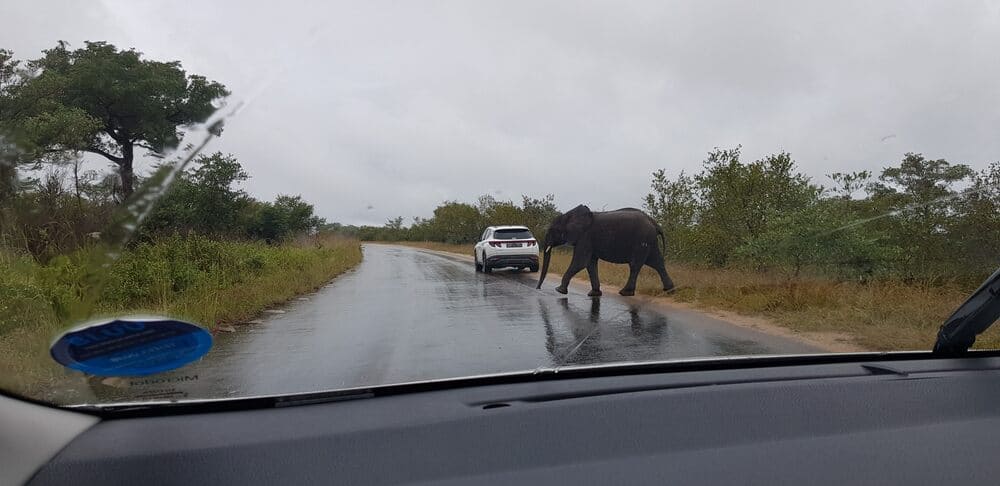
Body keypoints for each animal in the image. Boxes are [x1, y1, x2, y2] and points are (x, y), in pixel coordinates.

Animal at [536, 204, 676, 296]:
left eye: (553, 230)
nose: (538, 289)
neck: (569, 215)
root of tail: (654, 223)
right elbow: (590, 264)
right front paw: (594, 293)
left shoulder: (585, 237)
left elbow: (580, 262)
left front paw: (559, 290)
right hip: (650, 241)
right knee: (656, 262)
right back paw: (669, 290)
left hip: (642, 240)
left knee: (636, 265)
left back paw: (625, 292)